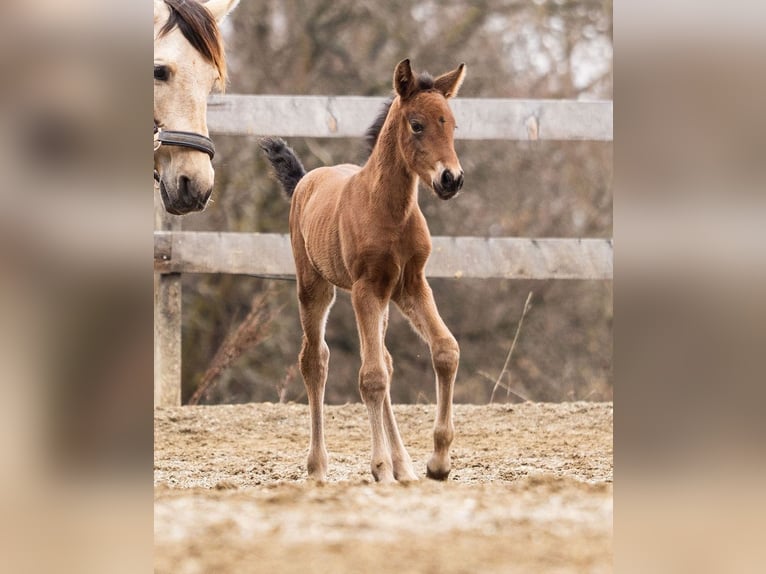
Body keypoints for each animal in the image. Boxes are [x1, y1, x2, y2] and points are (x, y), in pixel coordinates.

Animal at [261, 58, 466, 483]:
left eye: (452, 124)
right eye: (416, 124)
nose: (451, 179)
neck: (390, 210)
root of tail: (306, 178)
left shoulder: (411, 285)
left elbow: (444, 350)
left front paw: (437, 462)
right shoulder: (365, 289)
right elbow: (370, 377)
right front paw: (380, 468)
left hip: (384, 299)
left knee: (384, 359)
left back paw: (405, 466)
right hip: (314, 286)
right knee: (315, 360)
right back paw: (319, 467)